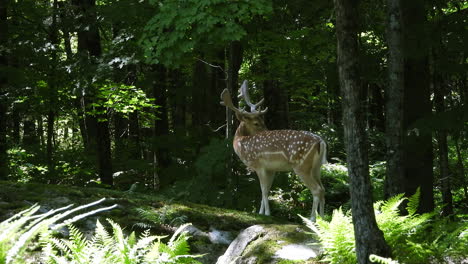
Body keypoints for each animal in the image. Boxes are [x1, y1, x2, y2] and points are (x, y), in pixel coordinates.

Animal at [221, 80, 328, 221]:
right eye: (256, 123)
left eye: (262, 121)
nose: (267, 131)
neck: (240, 144)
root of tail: (320, 142)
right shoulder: (271, 169)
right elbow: (266, 190)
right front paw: (260, 212)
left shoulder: (258, 165)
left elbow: (263, 189)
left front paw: (267, 213)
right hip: (316, 167)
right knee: (323, 188)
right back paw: (323, 219)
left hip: (301, 165)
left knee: (317, 190)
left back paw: (312, 219)